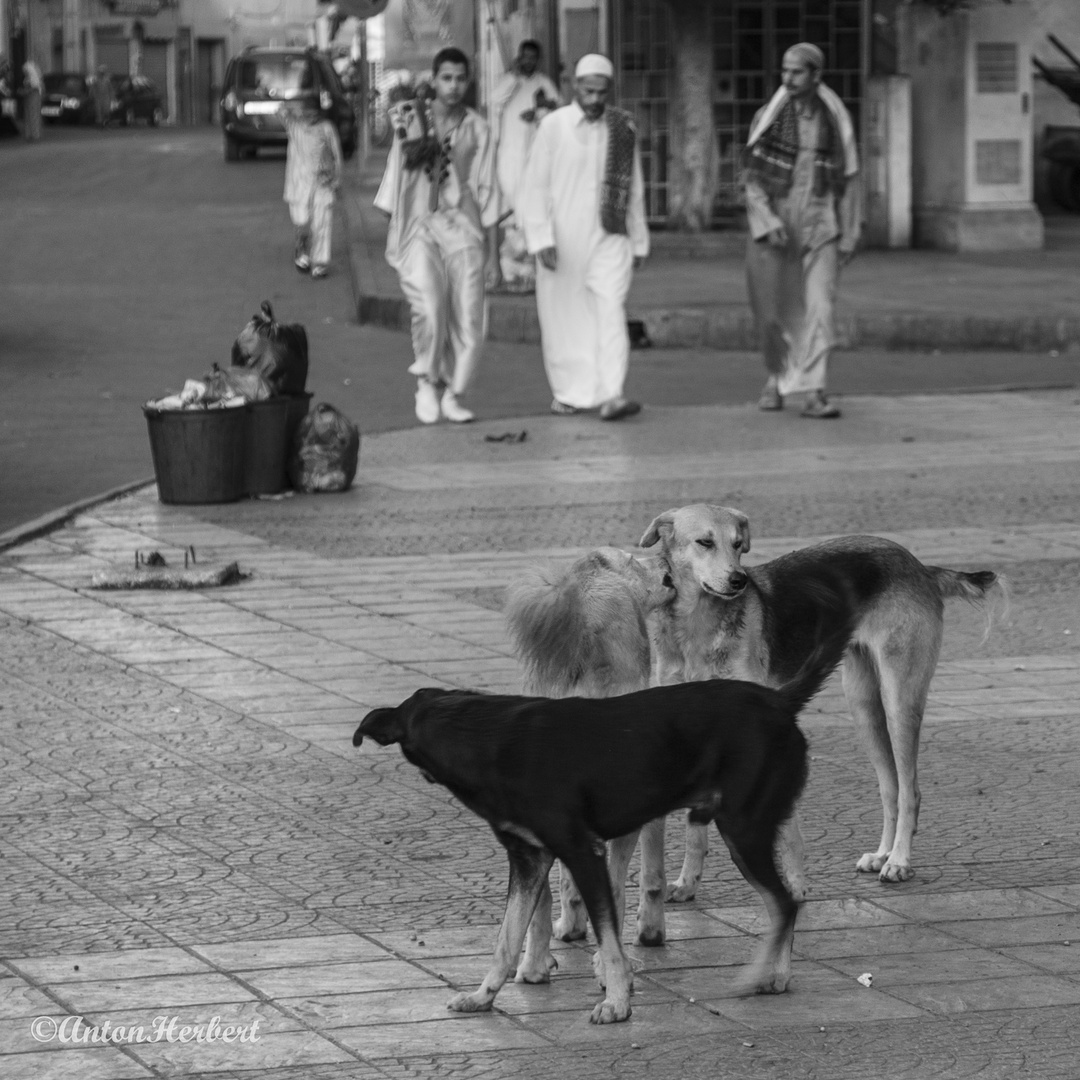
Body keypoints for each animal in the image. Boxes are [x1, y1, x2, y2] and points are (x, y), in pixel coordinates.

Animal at [352, 635, 842, 1023]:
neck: (482, 739)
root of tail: (778, 701)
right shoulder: (530, 858)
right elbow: (506, 940)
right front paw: (483, 997)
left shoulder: (582, 852)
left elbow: (608, 939)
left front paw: (618, 1002)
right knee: (785, 903)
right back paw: (777, 973)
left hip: (743, 829)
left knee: (784, 904)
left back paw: (769, 973)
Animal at [630, 505, 1002, 894]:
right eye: (704, 542)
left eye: (737, 544)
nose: (738, 581)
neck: (697, 626)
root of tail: (919, 566)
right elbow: (695, 830)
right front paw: (688, 882)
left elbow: (786, 826)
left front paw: (794, 884)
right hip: (863, 707)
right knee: (891, 788)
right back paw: (882, 854)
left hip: (900, 700)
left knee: (909, 791)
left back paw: (899, 861)